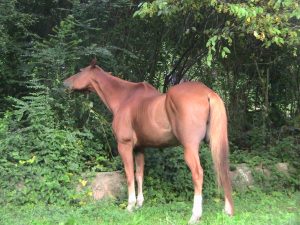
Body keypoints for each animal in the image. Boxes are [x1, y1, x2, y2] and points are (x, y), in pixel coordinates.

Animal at [63, 59, 234, 223]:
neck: (124, 98)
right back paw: (228, 211)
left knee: (198, 174)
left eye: (80, 71)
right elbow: (139, 174)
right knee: (222, 170)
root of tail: (208, 93)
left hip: (190, 147)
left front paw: (130, 206)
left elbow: (129, 175)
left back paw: (195, 216)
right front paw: (139, 204)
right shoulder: (140, 148)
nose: (64, 83)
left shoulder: (124, 145)